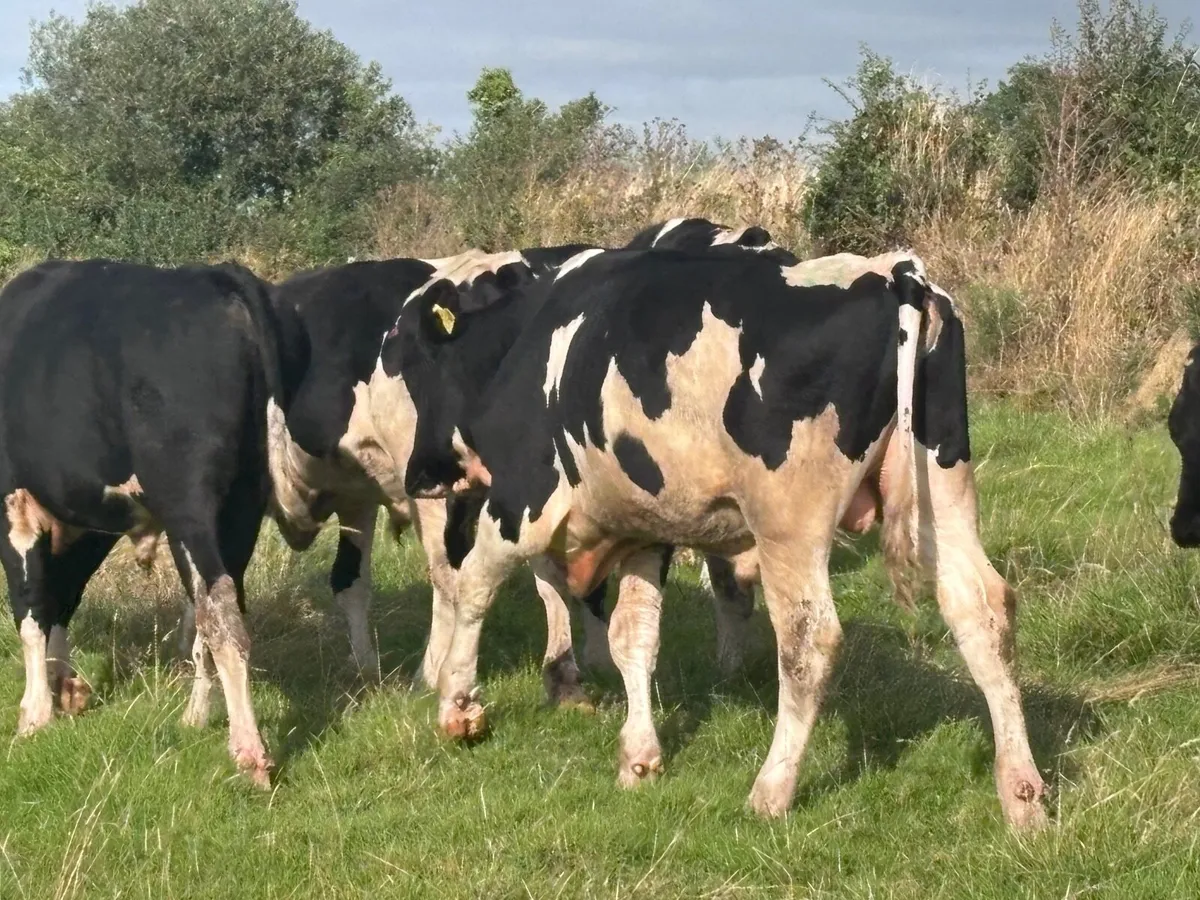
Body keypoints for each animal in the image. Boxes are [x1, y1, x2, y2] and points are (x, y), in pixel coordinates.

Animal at [0, 258, 308, 788]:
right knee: (214, 606)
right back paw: (196, 717)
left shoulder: (14, 504)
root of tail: (215, 277)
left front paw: (34, 716)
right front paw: (65, 688)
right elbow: (61, 597)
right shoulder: (88, 518)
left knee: (219, 611)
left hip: (188, 500)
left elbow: (31, 606)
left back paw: (249, 752)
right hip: (241, 505)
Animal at [379, 244, 1048, 829]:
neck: (523, 343)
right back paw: (1022, 795)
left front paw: (458, 708)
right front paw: (639, 757)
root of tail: (892, 272)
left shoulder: (521, 500)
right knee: (983, 611)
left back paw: (772, 790)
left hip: (789, 523)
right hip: (944, 490)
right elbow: (633, 637)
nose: (418, 477)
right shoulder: (646, 527)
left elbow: (473, 588)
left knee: (809, 640)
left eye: (416, 367)